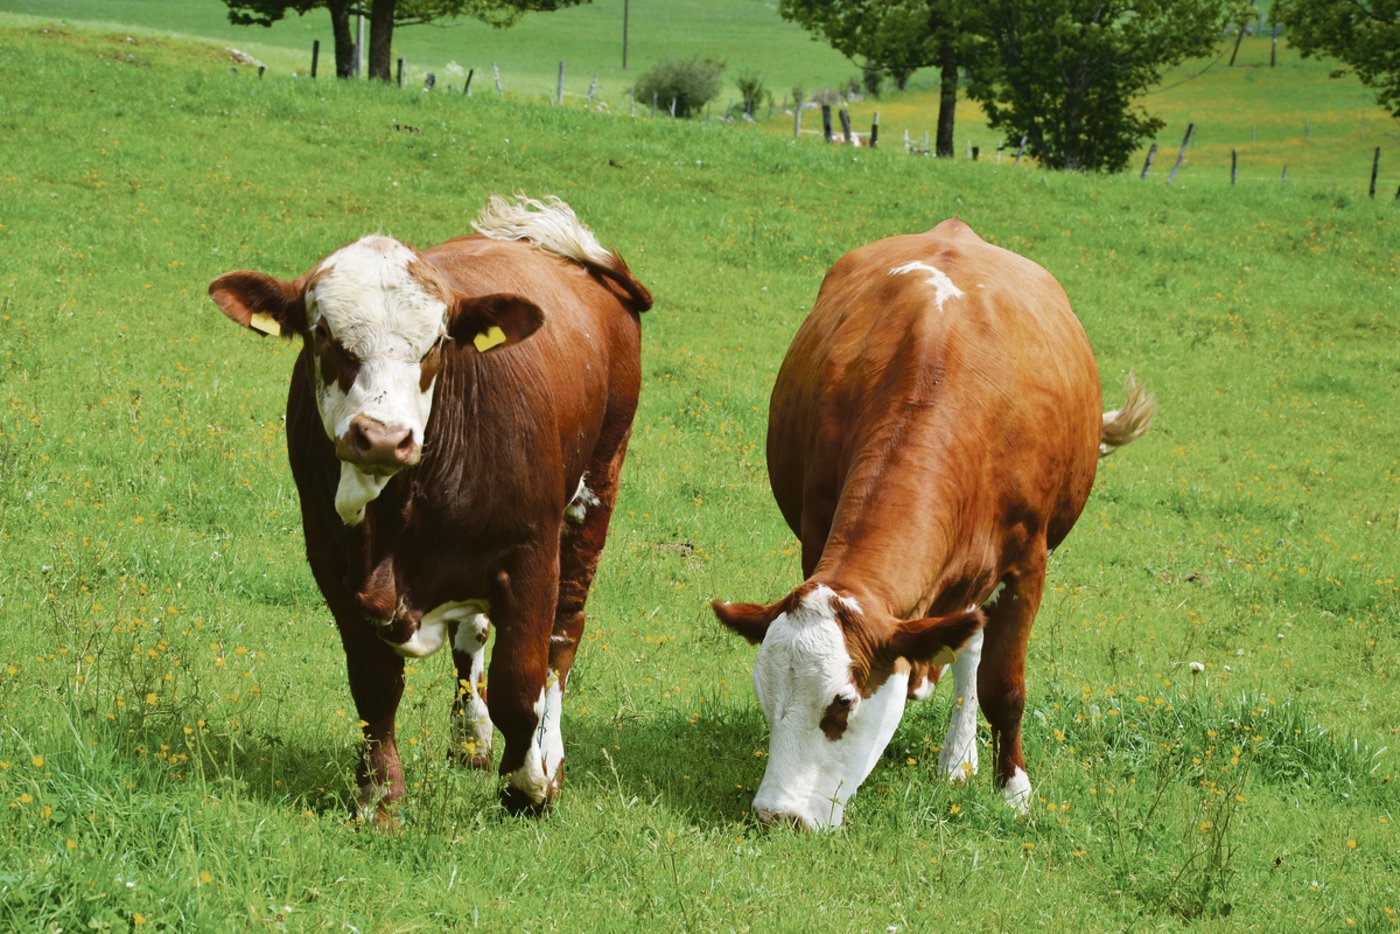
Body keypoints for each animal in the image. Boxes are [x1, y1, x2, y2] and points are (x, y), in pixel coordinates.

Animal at [207, 195, 651, 822]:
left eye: (438, 342)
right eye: (322, 334)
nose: (382, 437)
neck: (393, 517)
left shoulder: (530, 552)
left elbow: (521, 682)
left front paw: (528, 785)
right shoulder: (329, 559)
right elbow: (374, 683)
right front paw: (379, 794)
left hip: (598, 485)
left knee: (563, 635)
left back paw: (548, 754)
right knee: (474, 636)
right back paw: (470, 737)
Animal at [712, 219, 1154, 830]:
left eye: (842, 704)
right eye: (766, 698)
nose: (778, 815)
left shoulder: (1027, 563)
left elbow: (1003, 685)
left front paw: (1013, 790)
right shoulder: (817, 533)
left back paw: (959, 758)